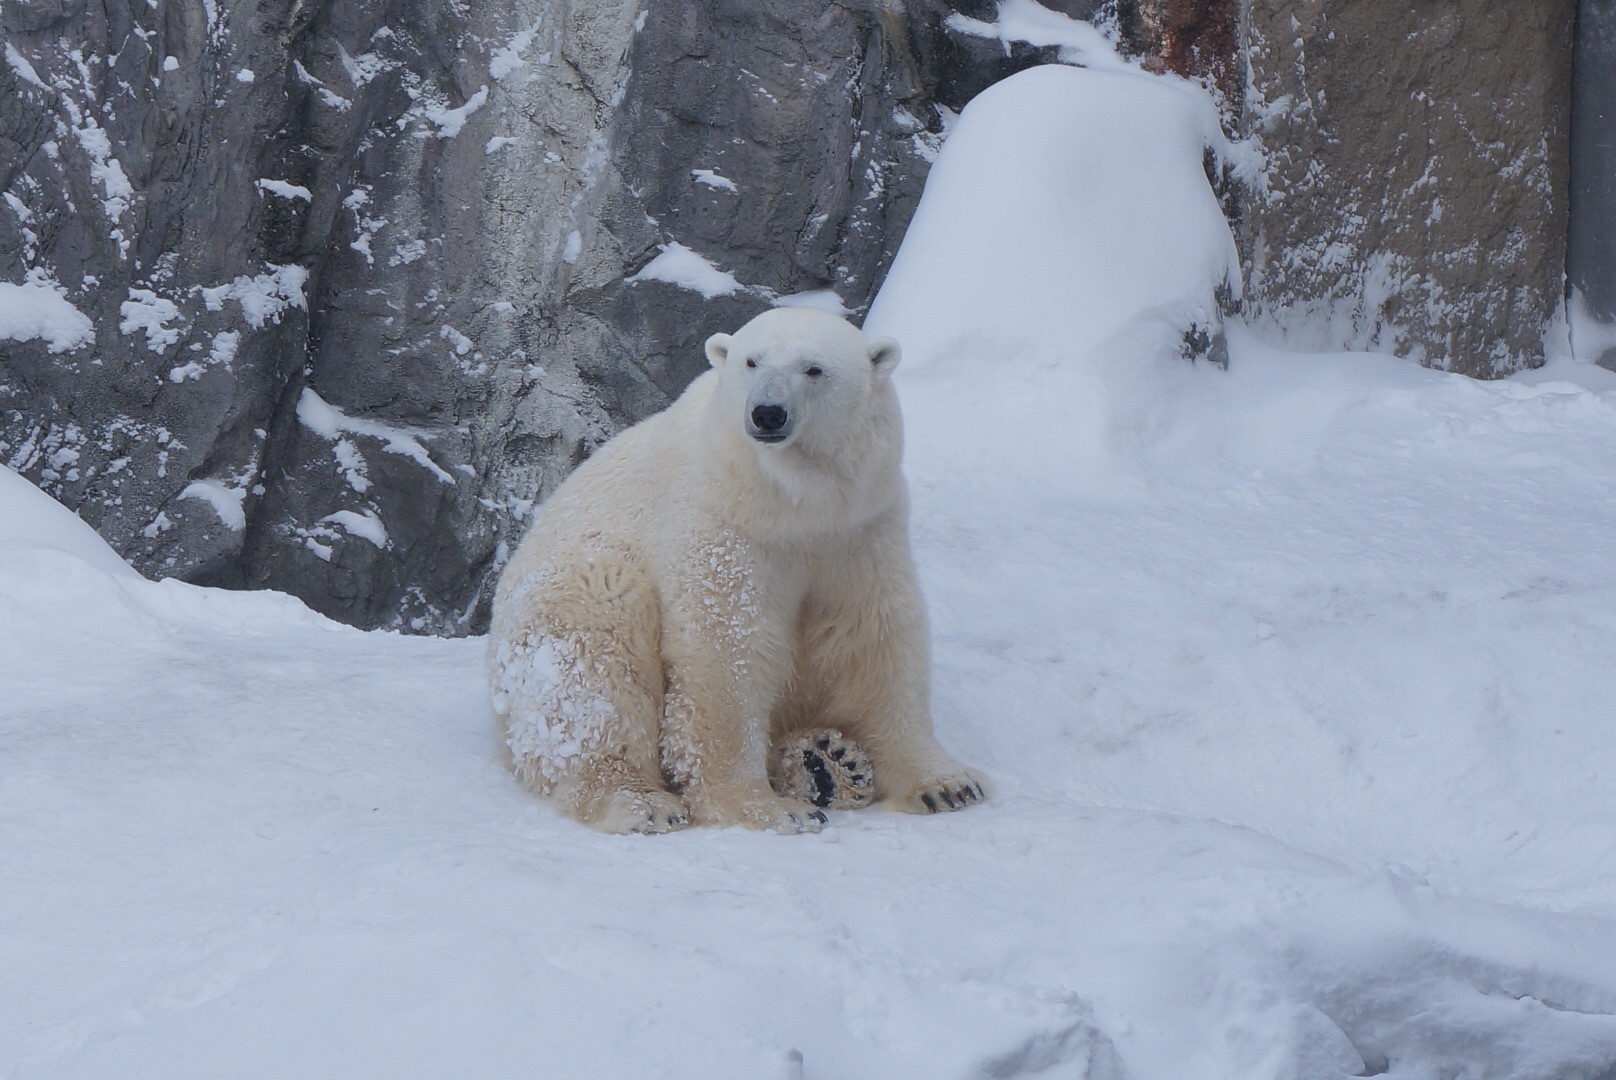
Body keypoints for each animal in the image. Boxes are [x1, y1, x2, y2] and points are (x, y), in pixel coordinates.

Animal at [484, 307, 982, 834]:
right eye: (751, 360)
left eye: (814, 369)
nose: (767, 413)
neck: (795, 505)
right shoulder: (726, 520)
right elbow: (727, 645)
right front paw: (767, 808)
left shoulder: (861, 527)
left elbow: (872, 637)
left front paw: (948, 785)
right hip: (555, 614)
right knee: (595, 656)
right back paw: (643, 801)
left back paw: (829, 762)